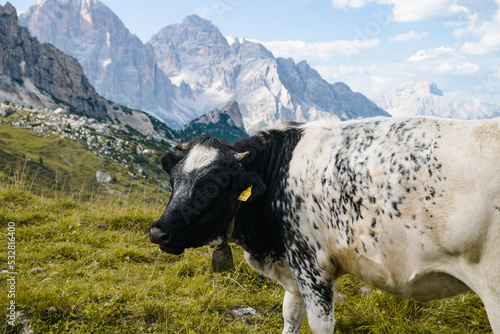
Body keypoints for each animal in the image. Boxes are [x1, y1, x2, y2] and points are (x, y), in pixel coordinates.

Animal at [149, 117, 500, 334]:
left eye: (210, 187)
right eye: (173, 180)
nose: (158, 231)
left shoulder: (310, 264)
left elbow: (319, 324)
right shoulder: (293, 268)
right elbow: (290, 315)